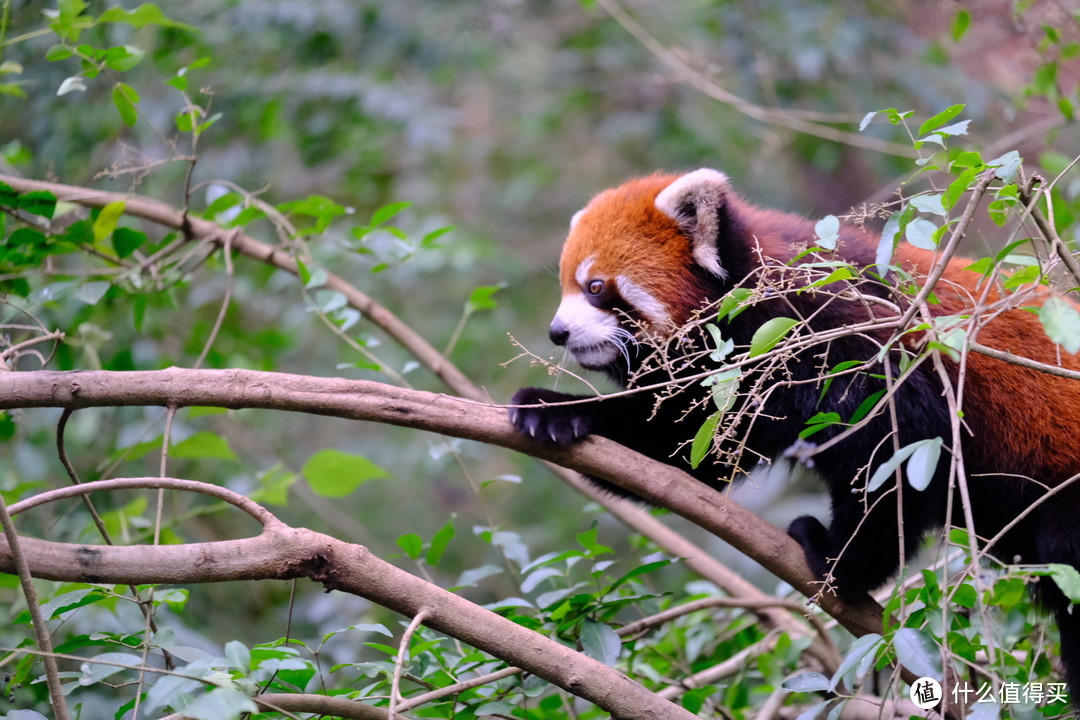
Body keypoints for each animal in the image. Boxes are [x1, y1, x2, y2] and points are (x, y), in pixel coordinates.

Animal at [511, 169, 1080, 690]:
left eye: (596, 287)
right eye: (567, 285)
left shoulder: (847, 335)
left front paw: (843, 562)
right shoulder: (745, 382)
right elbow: (686, 451)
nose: (557, 332)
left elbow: (894, 453)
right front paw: (555, 412)